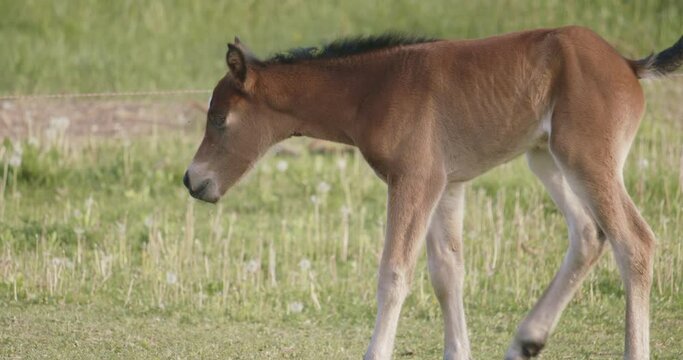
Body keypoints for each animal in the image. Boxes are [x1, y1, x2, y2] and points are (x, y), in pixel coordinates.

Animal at [183, 26, 683, 358]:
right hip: (545, 156)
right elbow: (446, 272)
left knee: (634, 242)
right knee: (588, 234)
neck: (372, 91)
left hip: (587, 158)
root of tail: (629, 65)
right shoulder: (447, 184)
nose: (193, 180)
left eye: (219, 119)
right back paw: (527, 339)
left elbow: (394, 273)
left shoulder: (415, 178)